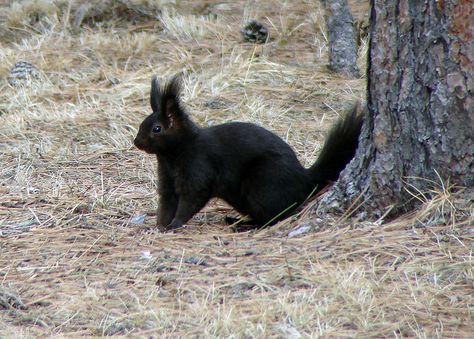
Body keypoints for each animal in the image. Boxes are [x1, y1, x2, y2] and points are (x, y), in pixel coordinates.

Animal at [133, 76, 362, 232]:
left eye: (157, 129)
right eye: (142, 124)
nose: (136, 142)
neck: (172, 157)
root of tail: (306, 179)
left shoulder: (198, 170)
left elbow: (191, 200)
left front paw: (175, 224)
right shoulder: (167, 181)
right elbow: (166, 202)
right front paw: (159, 225)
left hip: (263, 183)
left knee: (275, 216)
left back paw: (244, 226)